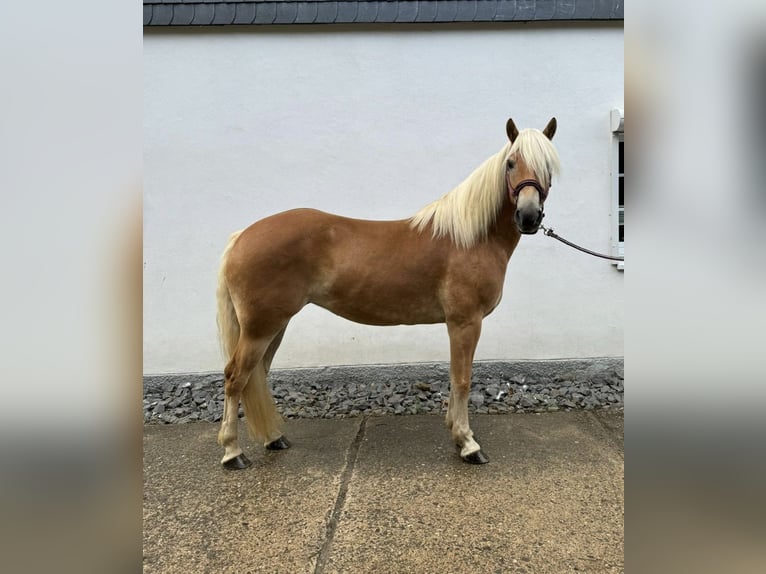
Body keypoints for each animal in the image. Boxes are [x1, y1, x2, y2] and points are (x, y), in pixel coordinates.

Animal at [214, 115, 560, 470]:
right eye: (511, 163)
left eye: (548, 165)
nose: (528, 216)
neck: (471, 238)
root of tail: (242, 237)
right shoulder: (465, 322)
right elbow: (462, 379)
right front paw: (468, 444)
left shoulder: (459, 324)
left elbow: (455, 378)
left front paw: (457, 434)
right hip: (260, 328)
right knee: (235, 377)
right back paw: (232, 453)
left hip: (274, 326)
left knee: (256, 376)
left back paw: (273, 438)